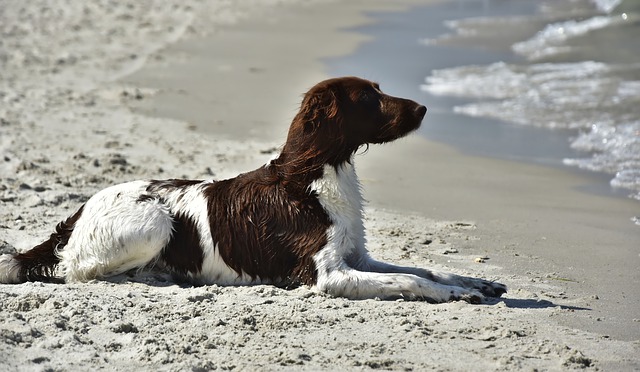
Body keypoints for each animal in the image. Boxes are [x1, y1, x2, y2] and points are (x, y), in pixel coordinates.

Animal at [0, 77, 504, 304]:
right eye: (368, 97)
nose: (423, 108)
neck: (312, 178)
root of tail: (78, 212)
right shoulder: (327, 276)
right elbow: (414, 280)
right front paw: (456, 294)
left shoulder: (356, 257)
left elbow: (425, 268)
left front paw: (473, 282)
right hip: (154, 220)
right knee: (78, 273)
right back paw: (156, 277)